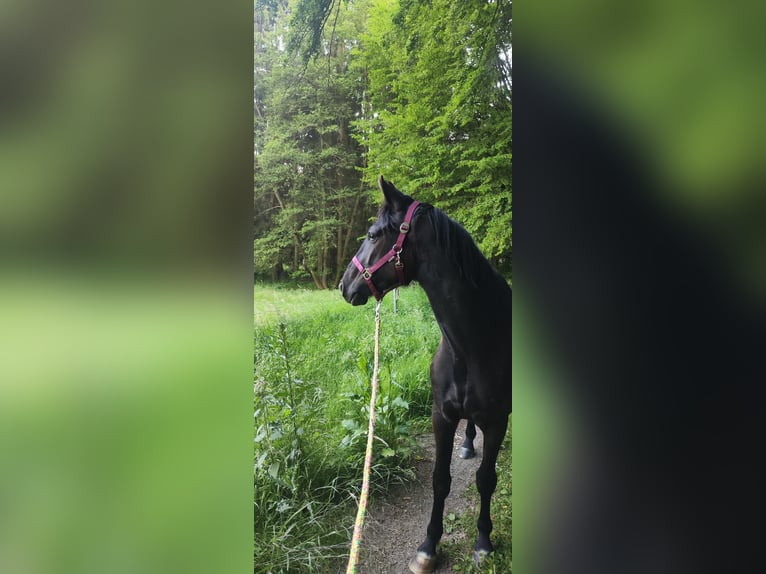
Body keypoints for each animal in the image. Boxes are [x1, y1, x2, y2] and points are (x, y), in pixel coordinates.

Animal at [340, 178, 510, 572]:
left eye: (372, 234)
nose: (344, 285)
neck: (474, 343)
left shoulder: (498, 421)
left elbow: (486, 480)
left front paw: (483, 541)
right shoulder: (441, 416)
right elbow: (440, 480)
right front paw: (429, 546)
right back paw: (467, 444)